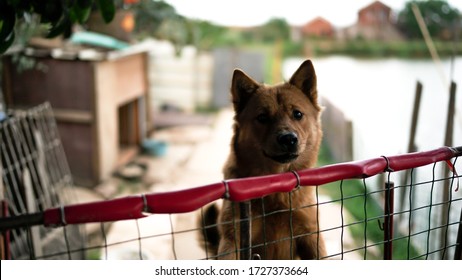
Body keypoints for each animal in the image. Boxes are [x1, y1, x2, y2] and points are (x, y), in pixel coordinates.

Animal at [202, 60, 324, 260]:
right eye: (262, 117)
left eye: (298, 114)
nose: (288, 139)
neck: (275, 185)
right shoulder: (233, 238)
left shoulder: (311, 235)